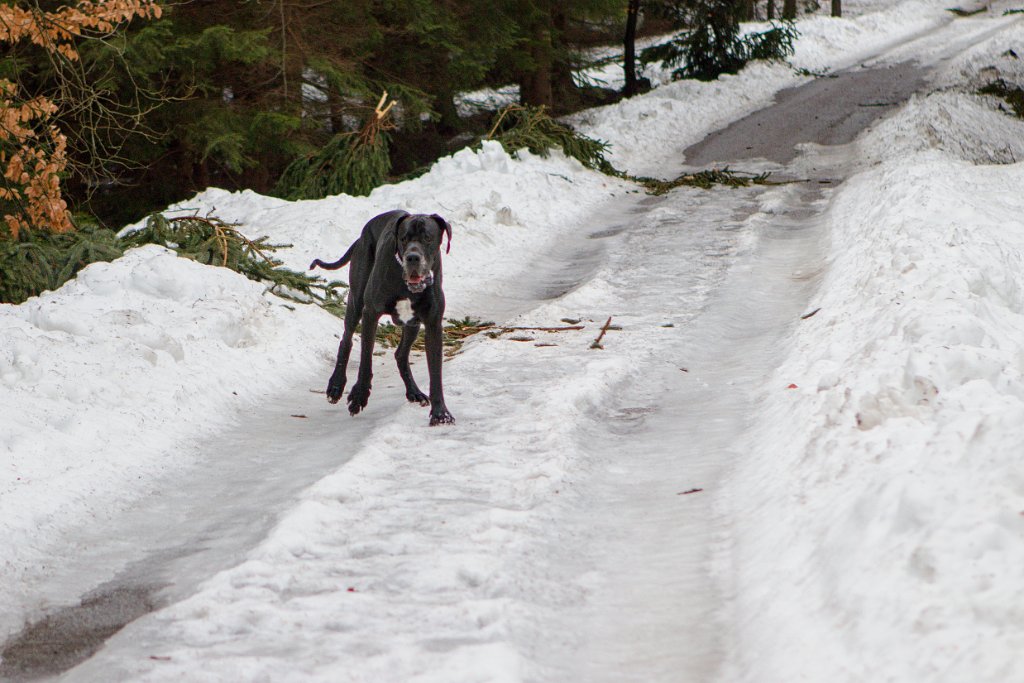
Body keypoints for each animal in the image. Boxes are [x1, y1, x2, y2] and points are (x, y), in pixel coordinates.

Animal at [309, 210, 454, 423]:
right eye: (403, 238)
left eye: (428, 238)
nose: (412, 257)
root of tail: (361, 236)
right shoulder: (370, 314)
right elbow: (365, 360)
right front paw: (359, 396)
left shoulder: (433, 324)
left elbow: (436, 374)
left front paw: (441, 414)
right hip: (356, 301)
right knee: (346, 340)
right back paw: (336, 385)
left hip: (412, 325)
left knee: (400, 354)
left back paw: (414, 392)